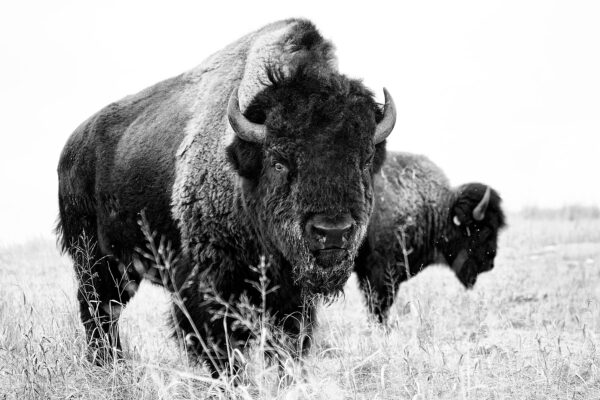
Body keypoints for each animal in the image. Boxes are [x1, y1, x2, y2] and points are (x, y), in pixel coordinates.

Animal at [54, 18, 396, 376]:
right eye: (278, 162)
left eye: (365, 160)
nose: (333, 231)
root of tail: (72, 147)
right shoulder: (207, 286)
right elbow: (221, 347)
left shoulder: (290, 296)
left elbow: (287, 344)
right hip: (95, 260)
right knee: (98, 309)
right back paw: (106, 364)